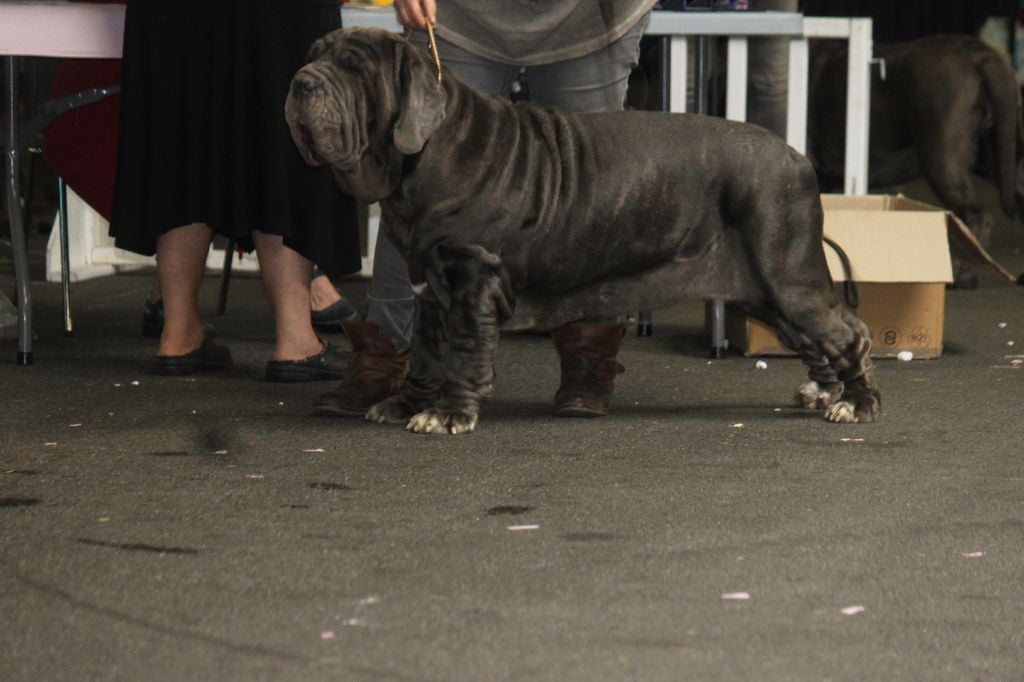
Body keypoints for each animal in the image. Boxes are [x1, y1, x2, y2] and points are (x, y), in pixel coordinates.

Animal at [284, 27, 876, 436]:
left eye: (355, 69)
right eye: (313, 54)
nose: (300, 82)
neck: (421, 157)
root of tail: (797, 157)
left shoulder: (475, 277)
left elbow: (466, 353)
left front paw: (450, 414)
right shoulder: (428, 286)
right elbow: (426, 351)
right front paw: (408, 404)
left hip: (786, 274)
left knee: (849, 333)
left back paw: (856, 404)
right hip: (760, 290)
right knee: (815, 336)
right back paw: (823, 392)